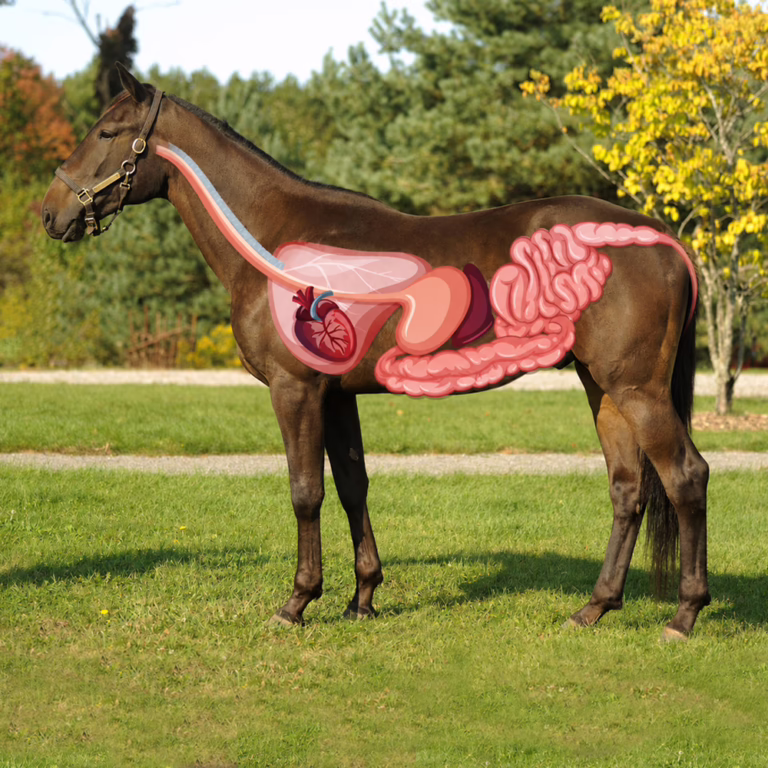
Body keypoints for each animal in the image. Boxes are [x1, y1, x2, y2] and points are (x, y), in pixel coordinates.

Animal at [42, 65, 710, 641]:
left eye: (106, 132)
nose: (52, 212)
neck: (275, 239)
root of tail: (659, 238)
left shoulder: (296, 390)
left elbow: (305, 491)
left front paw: (297, 602)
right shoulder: (337, 397)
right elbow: (352, 485)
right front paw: (361, 598)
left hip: (637, 391)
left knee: (685, 477)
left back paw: (683, 616)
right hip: (603, 389)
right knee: (627, 489)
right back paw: (594, 608)